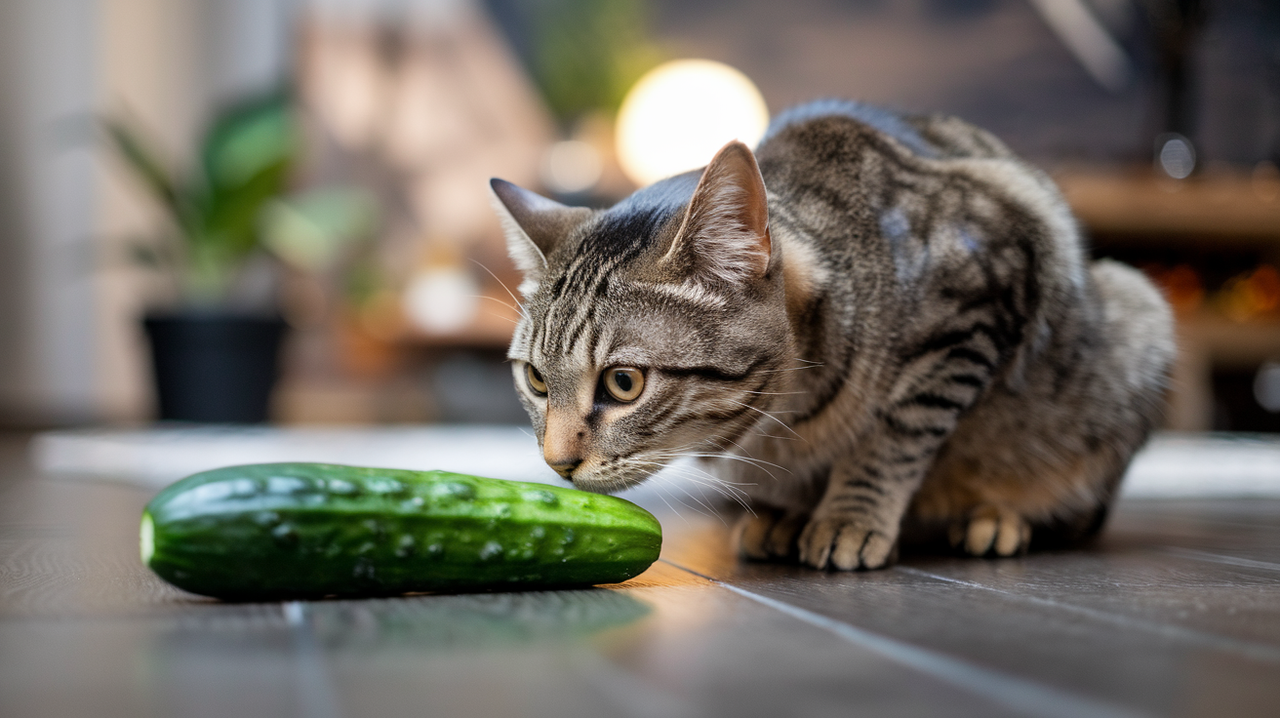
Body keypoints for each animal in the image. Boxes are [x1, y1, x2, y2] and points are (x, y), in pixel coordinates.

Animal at [494, 102, 1172, 570]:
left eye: (623, 383)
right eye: (535, 379)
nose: (556, 463)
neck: (788, 418)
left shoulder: (976, 305)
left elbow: (894, 438)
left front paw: (851, 515)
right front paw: (790, 511)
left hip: (1135, 324)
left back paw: (998, 515)